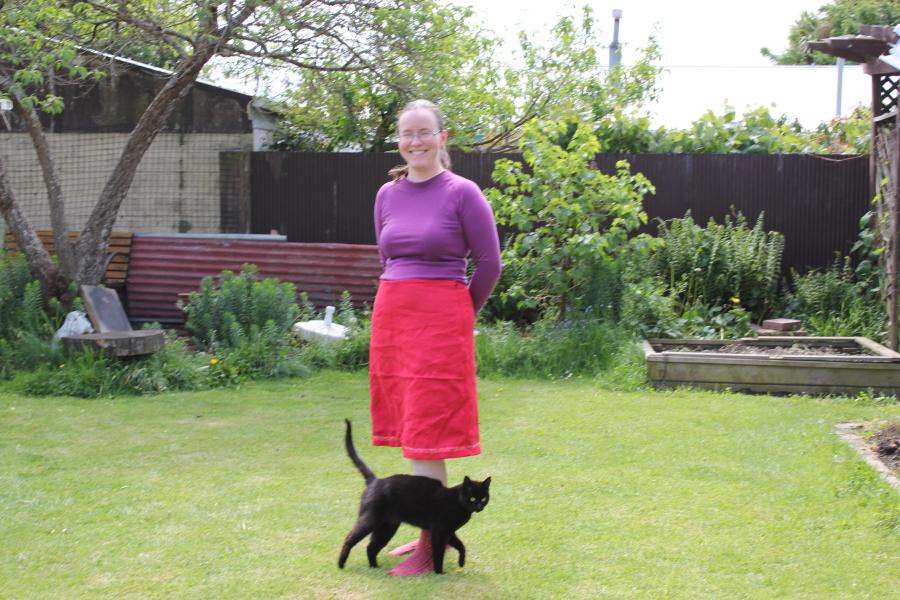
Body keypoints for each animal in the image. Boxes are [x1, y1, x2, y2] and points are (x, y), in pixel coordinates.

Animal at [340, 420, 492, 576]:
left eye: (483, 498)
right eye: (472, 498)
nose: (479, 507)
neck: (457, 502)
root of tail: (375, 480)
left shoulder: (449, 532)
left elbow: (461, 546)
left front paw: (461, 562)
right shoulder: (439, 531)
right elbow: (438, 553)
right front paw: (439, 573)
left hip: (386, 528)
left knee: (370, 547)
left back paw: (375, 568)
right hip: (370, 520)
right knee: (349, 538)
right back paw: (341, 564)